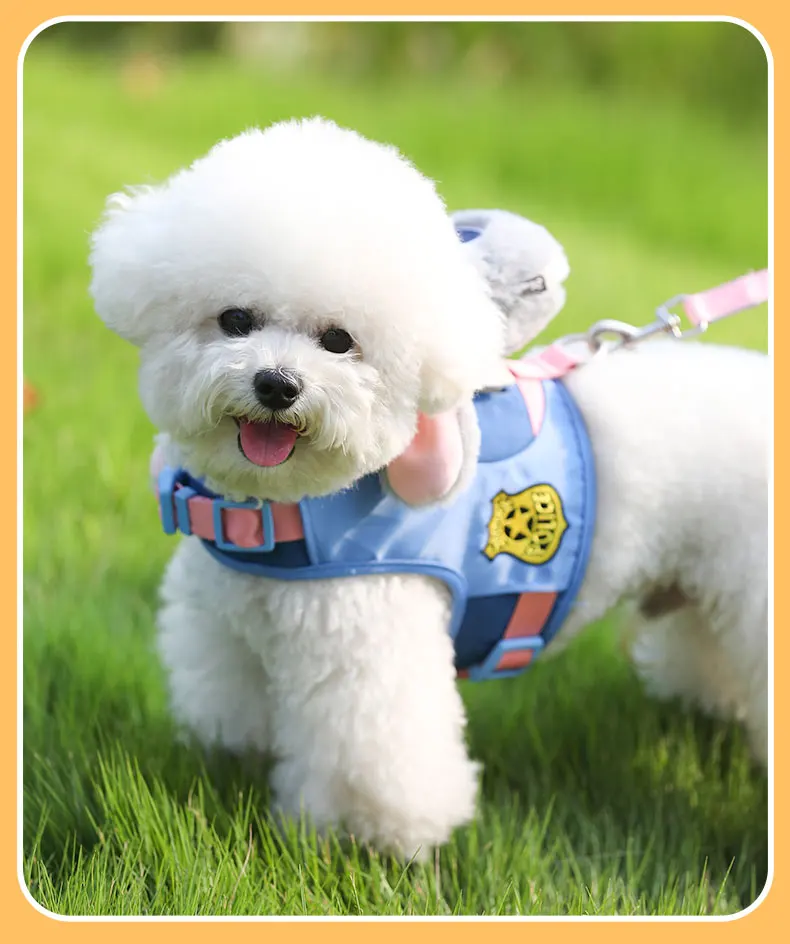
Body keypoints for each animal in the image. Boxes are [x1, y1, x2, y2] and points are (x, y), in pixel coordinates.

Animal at [89, 118, 768, 859]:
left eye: (339, 341)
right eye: (235, 319)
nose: (277, 384)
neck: (279, 509)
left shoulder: (367, 646)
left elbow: (368, 761)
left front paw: (366, 841)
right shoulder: (227, 627)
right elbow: (236, 708)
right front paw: (233, 765)